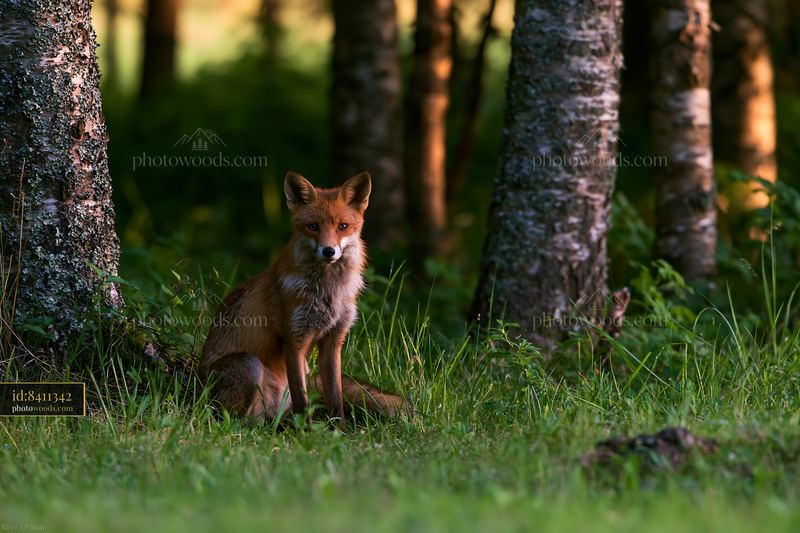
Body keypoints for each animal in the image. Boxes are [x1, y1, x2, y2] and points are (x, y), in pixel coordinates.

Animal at [199, 171, 409, 421]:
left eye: (343, 226)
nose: (329, 251)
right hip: (249, 364)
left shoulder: (333, 340)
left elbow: (336, 398)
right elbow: (303, 402)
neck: (329, 293)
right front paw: (306, 430)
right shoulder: (294, 340)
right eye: (313, 226)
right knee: (233, 419)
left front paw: (339, 428)